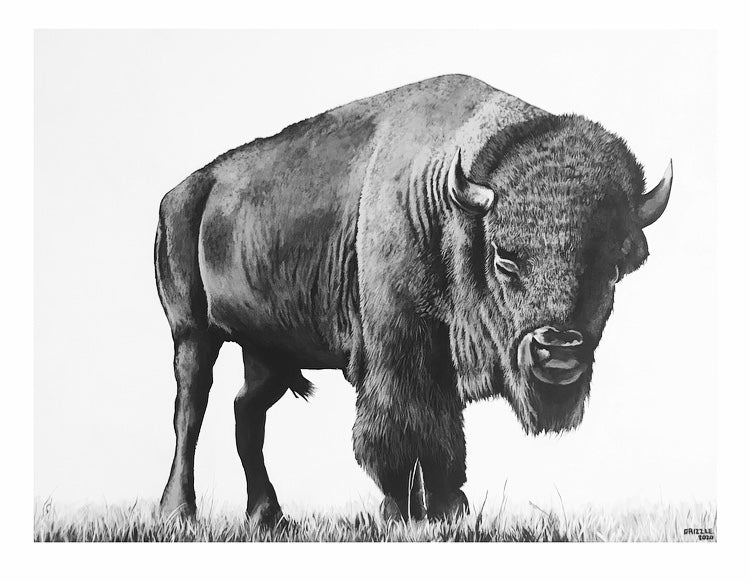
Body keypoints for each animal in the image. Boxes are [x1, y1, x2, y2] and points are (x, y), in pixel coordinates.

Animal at [155, 74, 671, 523]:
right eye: (505, 258)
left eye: (612, 268)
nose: (559, 348)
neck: (448, 199)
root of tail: (181, 191)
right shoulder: (401, 349)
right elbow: (406, 426)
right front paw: (407, 511)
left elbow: (445, 435)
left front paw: (448, 508)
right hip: (191, 334)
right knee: (190, 409)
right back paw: (178, 512)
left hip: (268, 351)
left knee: (247, 411)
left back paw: (268, 516)